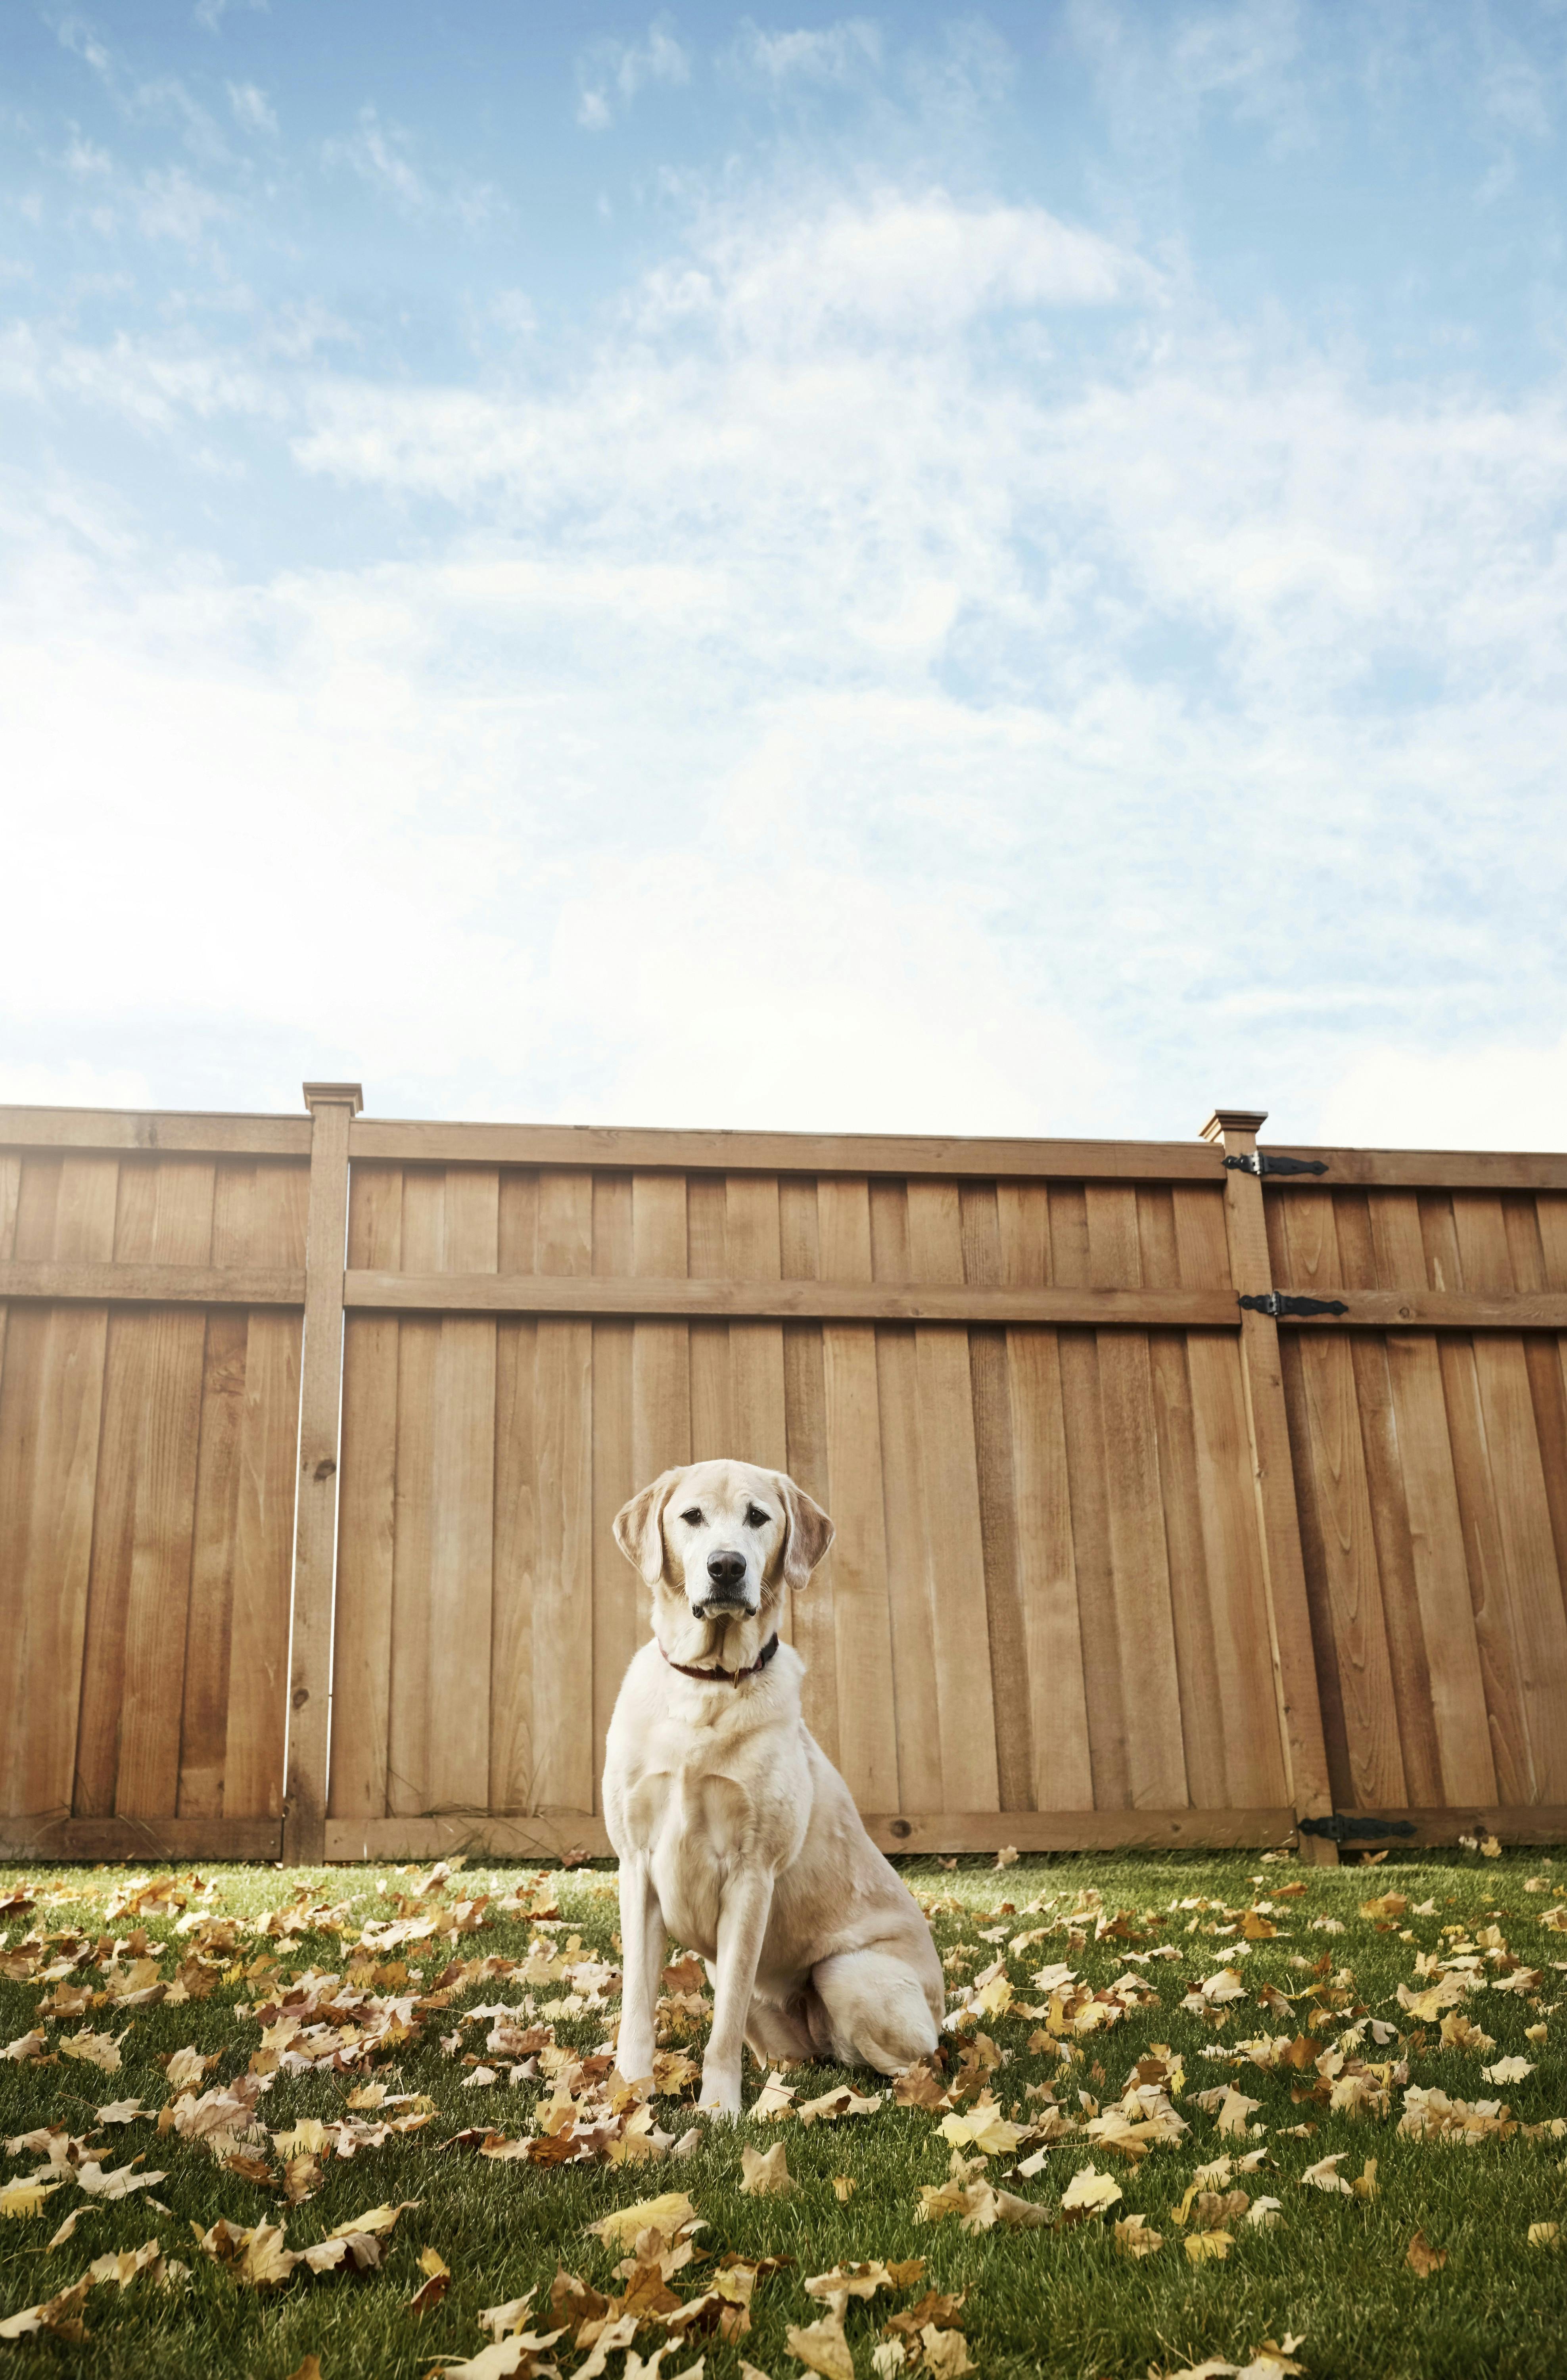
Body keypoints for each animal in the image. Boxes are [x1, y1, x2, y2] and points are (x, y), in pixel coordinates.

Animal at [598, 1457, 938, 2113]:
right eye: (691, 1516)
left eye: (757, 1517)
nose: (726, 1567)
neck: (706, 1686)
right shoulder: (637, 1868)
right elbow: (637, 2009)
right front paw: (630, 2098)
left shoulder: (751, 1876)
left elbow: (723, 2023)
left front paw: (719, 2112)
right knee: (796, 2058)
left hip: (847, 1975)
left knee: (909, 2067)